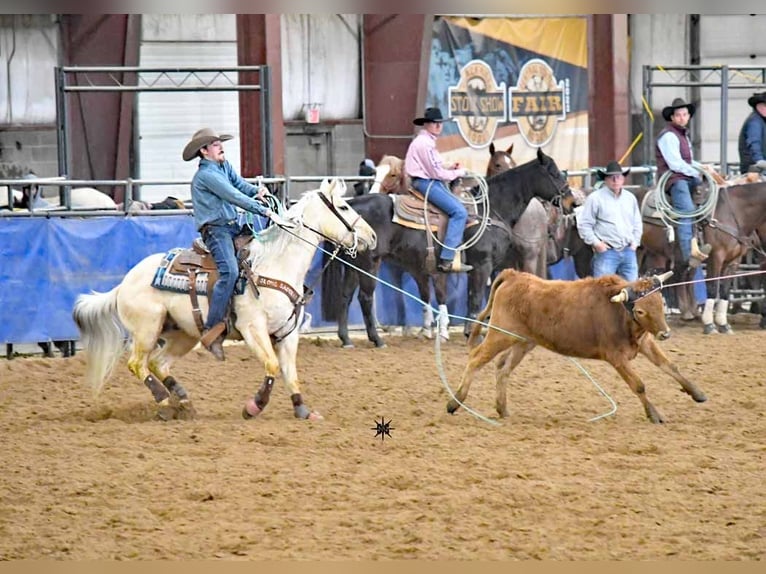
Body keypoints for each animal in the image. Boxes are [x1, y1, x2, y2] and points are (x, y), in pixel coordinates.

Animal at [73, 180, 380, 424]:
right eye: (343, 207)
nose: (372, 236)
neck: (275, 265)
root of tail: (124, 283)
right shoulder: (253, 328)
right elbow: (272, 366)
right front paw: (254, 407)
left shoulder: (288, 334)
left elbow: (290, 373)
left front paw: (303, 410)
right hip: (146, 330)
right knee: (138, 364)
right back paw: (165, 402)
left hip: (184, 334)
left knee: (159, 363)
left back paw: (183, 401)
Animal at [450, 268, 708, 424]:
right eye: (641, 311)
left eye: (660, 303)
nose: (665, 333)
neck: (619, 312)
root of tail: (514, 275)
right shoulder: (616, 357)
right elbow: (638, 385)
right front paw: (654, 414)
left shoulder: (645, 342)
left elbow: (670, 367)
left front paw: (697, 393)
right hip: (499, 335)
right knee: (476, 358)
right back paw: (455, 401)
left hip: (523, 342)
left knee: (503, 368)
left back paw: (502, 409)